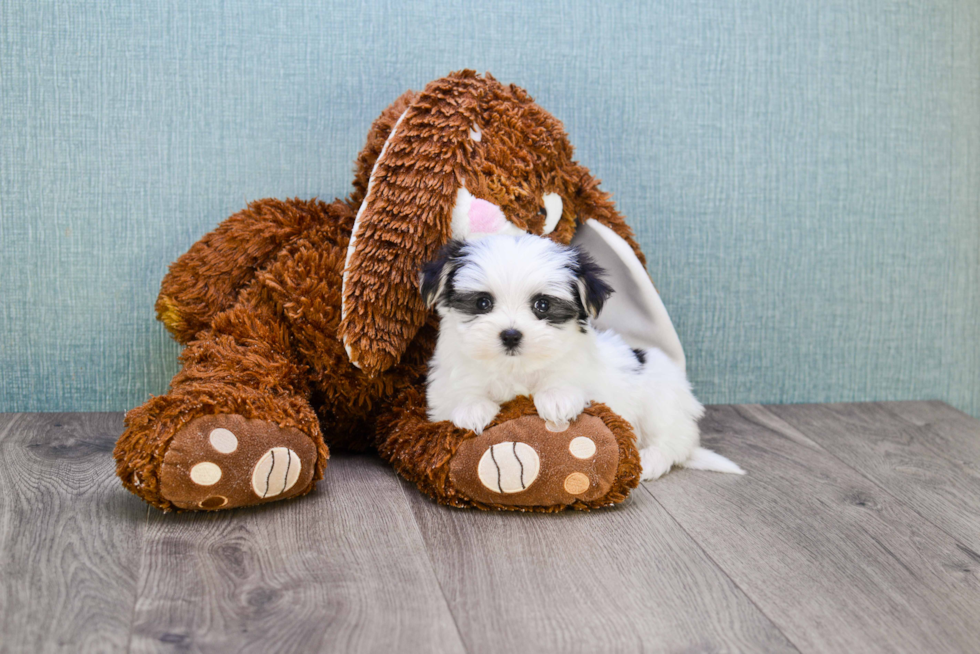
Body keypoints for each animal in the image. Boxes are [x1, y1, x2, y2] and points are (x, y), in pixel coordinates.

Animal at [422, 236, 744, 482]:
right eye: (482, 302)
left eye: (542, 305)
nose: (511, 335)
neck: (515, 367)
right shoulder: (444, 383)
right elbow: (457, 393)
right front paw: (472, 408)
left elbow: (565, 379)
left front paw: (556, 398)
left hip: (660, 400)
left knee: (672, 441)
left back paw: (649, 461)